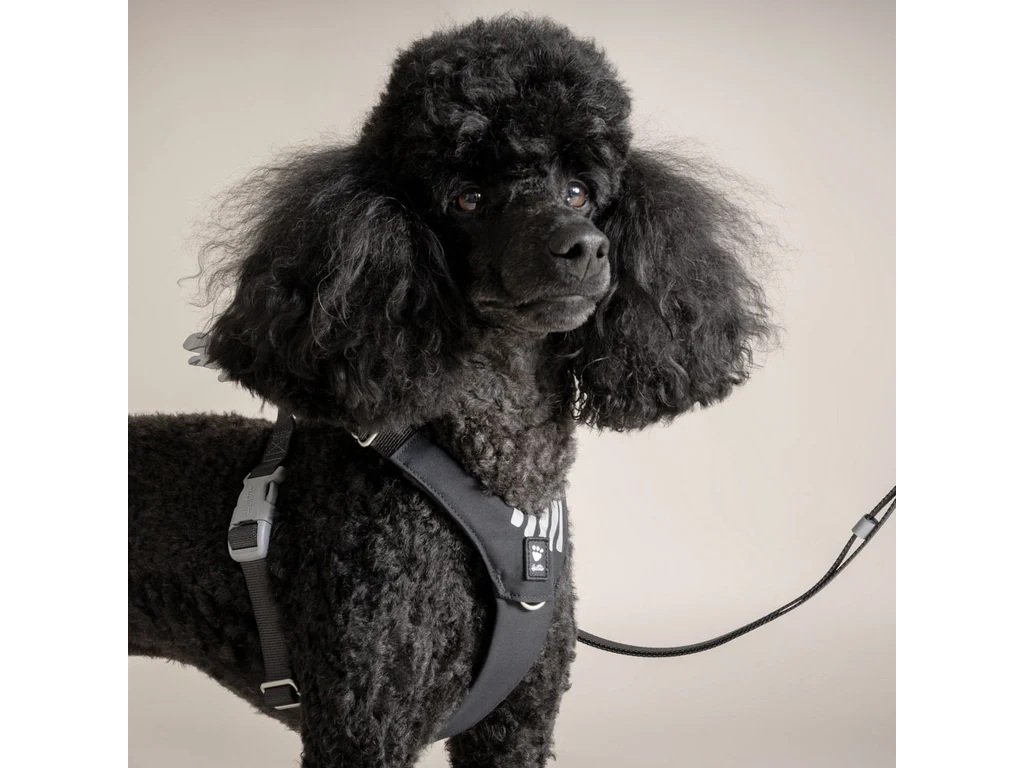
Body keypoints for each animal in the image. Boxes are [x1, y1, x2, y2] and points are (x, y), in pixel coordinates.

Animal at [129, 15, 772, 767]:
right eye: (468, 199)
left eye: (580, 191)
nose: (583, 247)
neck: (501, 482)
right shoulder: (364, 719)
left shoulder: (519, 716)